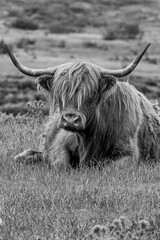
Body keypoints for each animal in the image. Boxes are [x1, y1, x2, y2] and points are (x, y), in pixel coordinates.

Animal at [3, 41, 160, 169]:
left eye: (91, 95)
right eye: (60, 93)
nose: (70, 120)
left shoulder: (128, 154)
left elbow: (108, 167)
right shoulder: (60, 144)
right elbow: (61, 164)